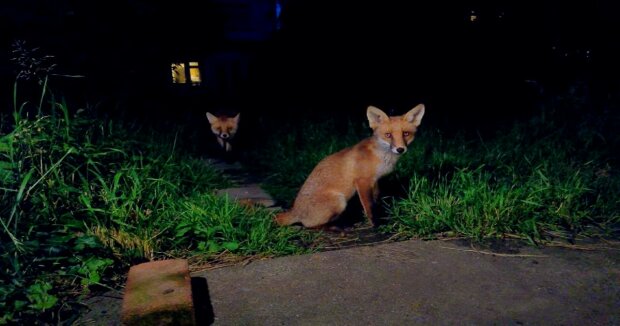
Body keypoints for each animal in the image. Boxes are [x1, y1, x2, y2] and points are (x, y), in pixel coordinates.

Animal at [276, 105, 426, 228]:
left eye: (406, 133)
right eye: (388, 135)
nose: (400, 149)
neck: (381, 158)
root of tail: (295, 210)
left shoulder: (375, 181)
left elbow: (376, 201)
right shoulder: (362, 182)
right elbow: (369, 206)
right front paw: (376, 224)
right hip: (339, 201)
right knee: (309, 225)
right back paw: (338, 227)